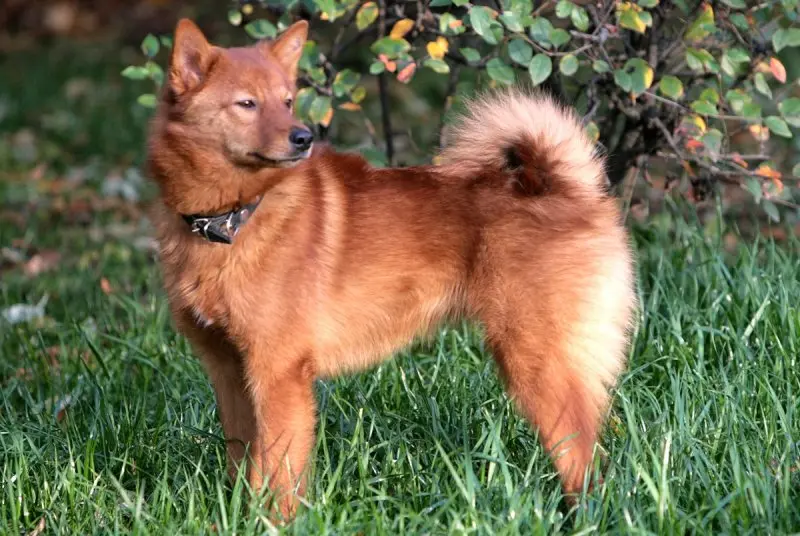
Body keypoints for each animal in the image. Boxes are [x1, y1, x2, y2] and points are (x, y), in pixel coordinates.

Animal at [147, 18, 636, 520]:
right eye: (247, 103)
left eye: (287, 100)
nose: (304, 137)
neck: (231, 219)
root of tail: (570, 190)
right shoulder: (230, 372)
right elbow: (242, 462)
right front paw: (238, 516)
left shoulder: (278, 375)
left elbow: (279, 472)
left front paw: (275, 523)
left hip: (539, 365)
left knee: (584, 459)